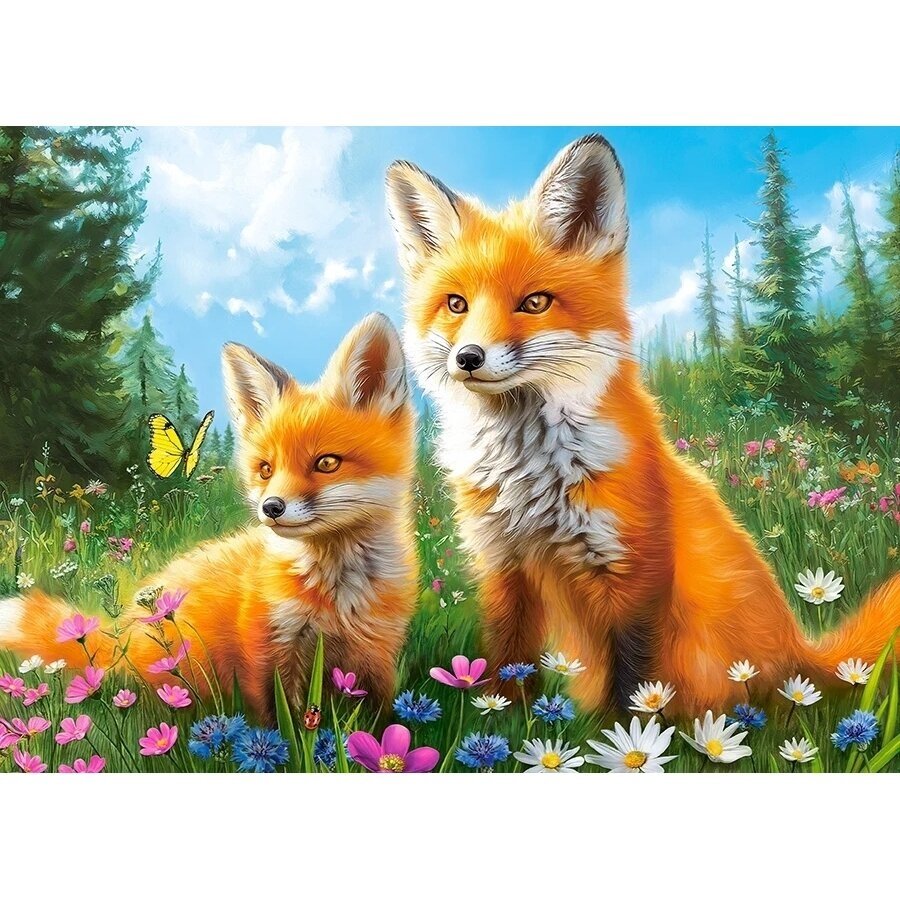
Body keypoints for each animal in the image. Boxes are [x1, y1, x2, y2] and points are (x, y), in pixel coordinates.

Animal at [0, 312, 417, 721]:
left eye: (327, 463)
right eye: (266, 469)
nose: (271, 508)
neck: (337, 596)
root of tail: (123, 631)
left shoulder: (378, 651)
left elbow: (381, 718)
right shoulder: (267, 645)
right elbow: (276, 722)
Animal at [385, 134, 900, 716]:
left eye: (535, 303)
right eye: (456, 304)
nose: (468, 357)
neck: (530, 480)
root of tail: (800, 653)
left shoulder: (635, 571)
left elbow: (632, 682)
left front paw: (621, 733)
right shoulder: (503, 567)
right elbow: (508, 664)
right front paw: (503, 717)